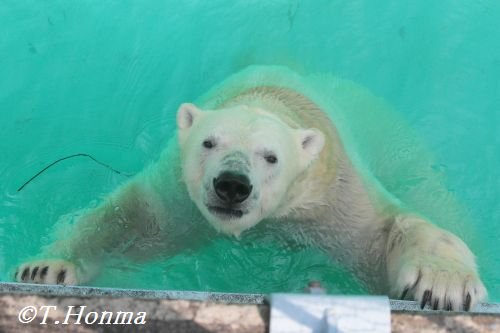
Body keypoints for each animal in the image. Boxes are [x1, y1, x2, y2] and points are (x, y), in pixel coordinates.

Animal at [13, 66, 486, 310]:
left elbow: (387, 232)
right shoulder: (180, 197)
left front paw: (443, 283)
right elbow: (129, 219)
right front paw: (45, 269)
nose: (232, 185)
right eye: (209, 142)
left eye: (271, 156)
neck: (268, 97)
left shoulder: (332, 194)